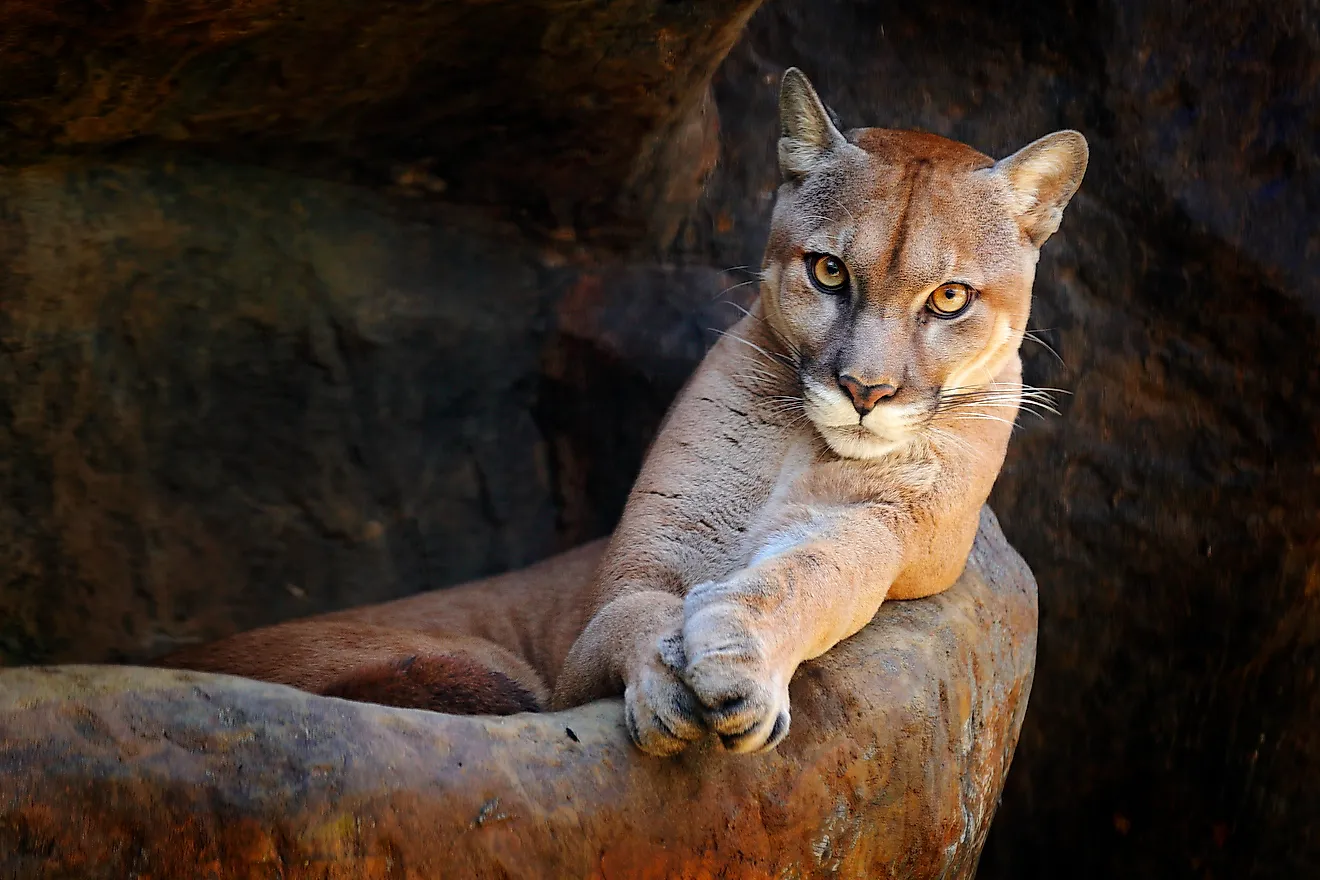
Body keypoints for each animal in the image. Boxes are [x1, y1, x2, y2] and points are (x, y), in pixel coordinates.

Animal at [162, 68, 1082, 759]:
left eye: (950, 298)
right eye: (828, 271)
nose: (864, 389)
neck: (799, 443)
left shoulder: (896, 532)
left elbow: (818, 569)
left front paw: (736, 657)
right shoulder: (625, 585)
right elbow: (633, 613)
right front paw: (668, 682)